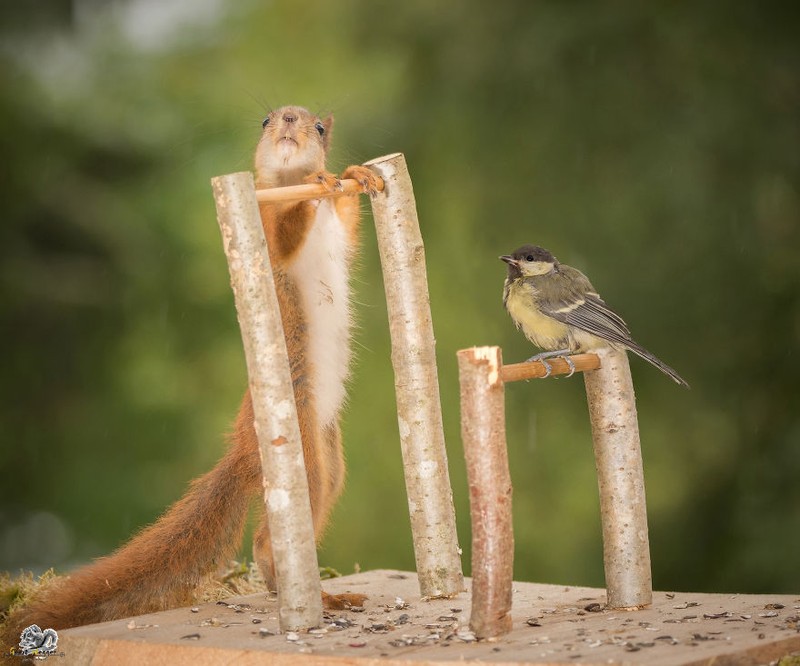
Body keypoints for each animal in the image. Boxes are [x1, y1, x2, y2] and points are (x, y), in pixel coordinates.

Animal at [2, 105, 382, 644]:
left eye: (320, 127)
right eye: (265, 120)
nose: (289, 118)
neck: (287, 182)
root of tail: (242, 450)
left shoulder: (337, 230)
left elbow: (346, 226)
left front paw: (354, 175)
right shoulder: (263, 230)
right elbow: (285, 236)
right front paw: (316, 182)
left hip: (330, 459)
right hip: (302, 447)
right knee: (270, 538)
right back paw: (306, 591)